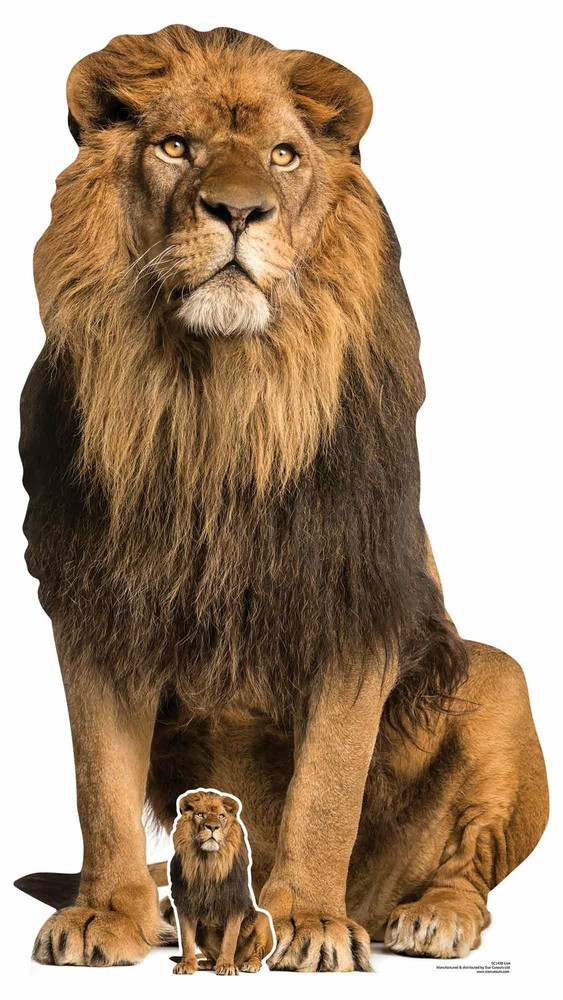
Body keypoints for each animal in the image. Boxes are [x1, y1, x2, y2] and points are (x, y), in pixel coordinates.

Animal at [168, 789, 273, 975]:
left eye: (221, 816)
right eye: (200, 814)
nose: (212, 827)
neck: (208, 864)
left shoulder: (235, 904)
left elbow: (229, 939)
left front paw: (226, 966)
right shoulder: (185, 904)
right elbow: (186, 940)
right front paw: (187, 964)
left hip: (263, 919)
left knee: (257, 954)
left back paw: (249, 964)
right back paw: (206, 963)